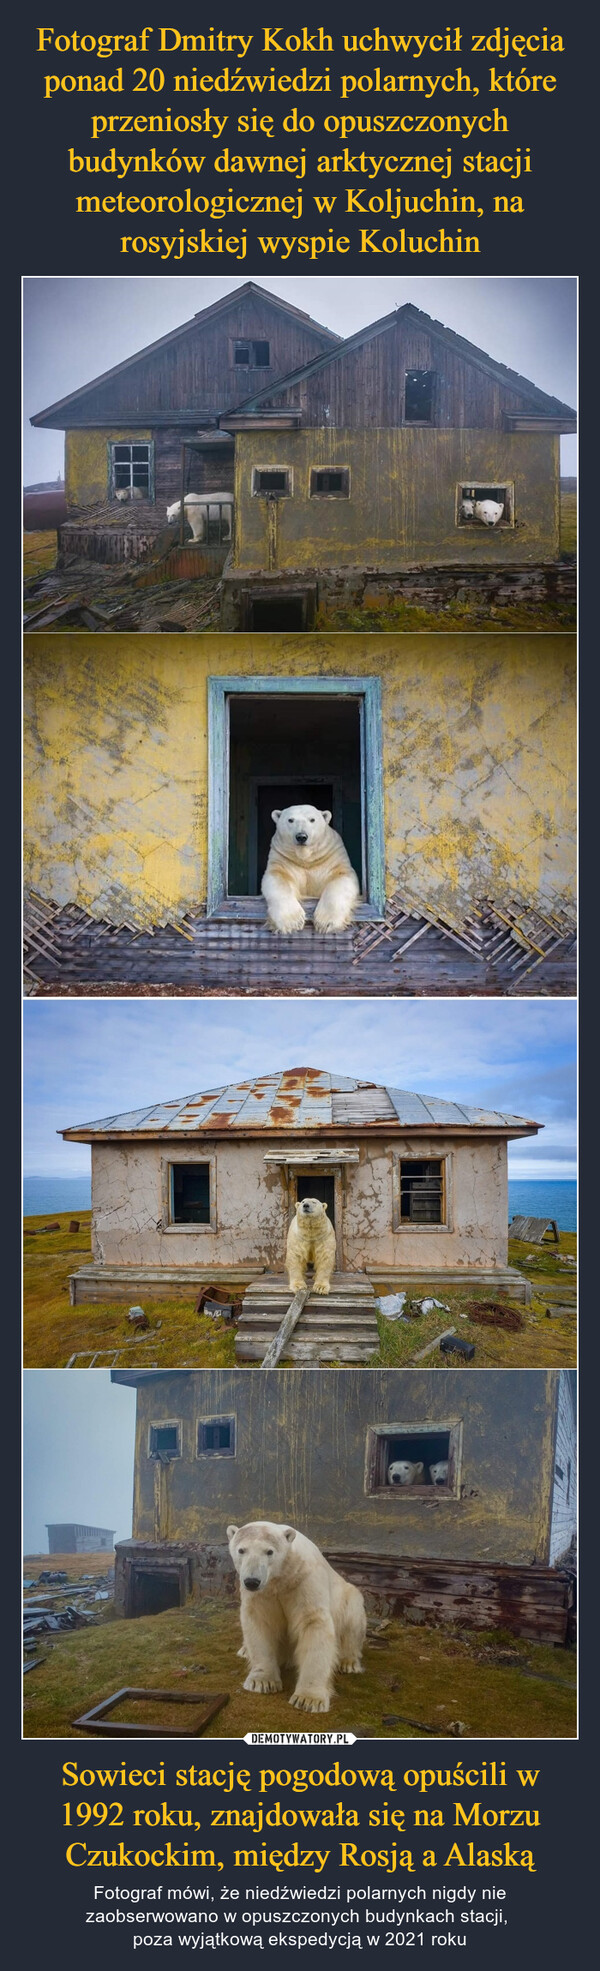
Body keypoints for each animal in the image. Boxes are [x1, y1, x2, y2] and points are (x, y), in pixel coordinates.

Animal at [226, 1521, 367, 1710]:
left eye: (269, 1551)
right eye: (241, 1550)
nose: (252, 1581)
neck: (281, 1577)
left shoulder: (304, 1580)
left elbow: (313, 1623)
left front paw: (309, 1699)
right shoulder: (263, 1594)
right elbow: (260, 1622)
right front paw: (262, 1682)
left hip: (347, 1597)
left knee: (352, 1620)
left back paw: (348, 1662)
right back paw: (244, 1651)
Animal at [260, 804, 359, 934]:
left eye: (312, 819)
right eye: (290, 820)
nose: (301, 836)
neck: (306, 859)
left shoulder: (332, 856)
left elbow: (342, 877)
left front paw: (326, 923)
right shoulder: (282, 858)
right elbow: (278, 878)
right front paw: (292, 922)